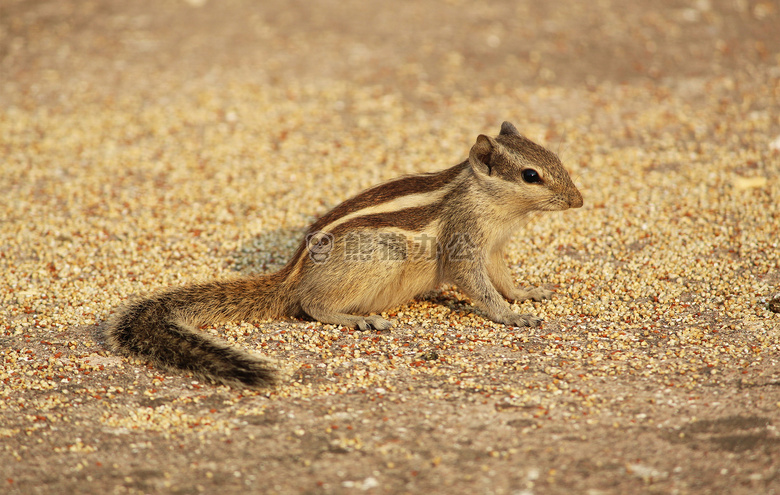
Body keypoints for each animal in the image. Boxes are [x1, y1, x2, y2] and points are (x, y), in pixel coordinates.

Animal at [105, 122, 584, 390]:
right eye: (531, 176)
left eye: (556, 158)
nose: (578, 201)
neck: (491, 202)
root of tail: (290, 278)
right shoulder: (465, 244)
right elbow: (479, 287)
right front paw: (511, 316)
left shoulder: (495, 248)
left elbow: (503, 278)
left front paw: (527, 294)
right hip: (381, 256)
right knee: (310, 305)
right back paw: (358, 319)